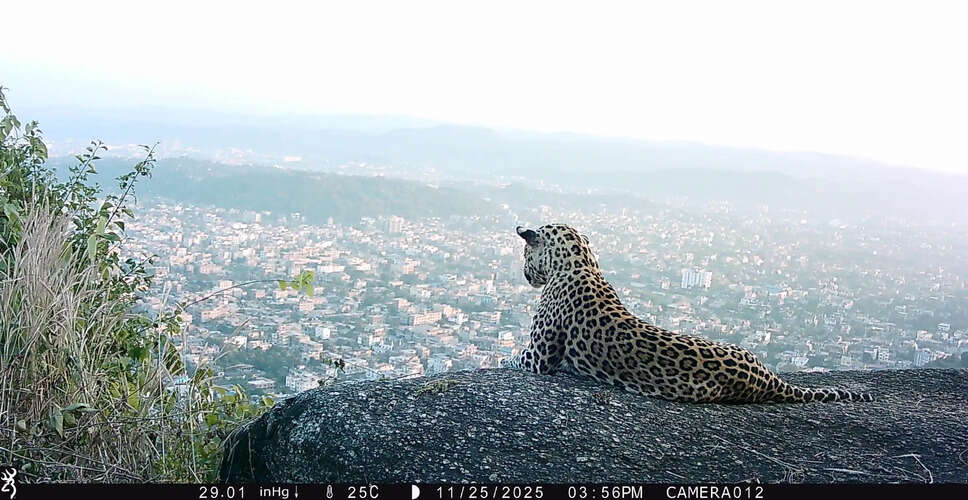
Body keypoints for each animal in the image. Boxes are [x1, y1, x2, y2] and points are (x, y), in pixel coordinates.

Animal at [501, 223, 873, 403]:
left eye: (524, 254)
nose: (524, 273)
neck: (581, 263)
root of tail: (768, 379)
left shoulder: (539, 357)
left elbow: (517, 359)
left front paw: (502, 361)